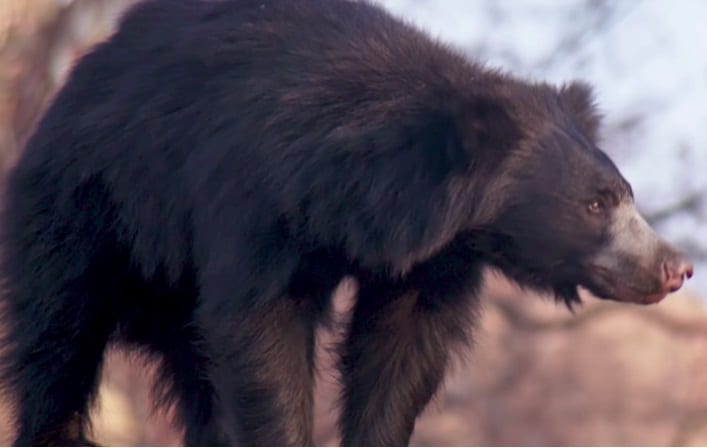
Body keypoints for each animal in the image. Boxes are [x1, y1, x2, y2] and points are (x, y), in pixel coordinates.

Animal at [0, 0, 696, 442]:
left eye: (627, 195)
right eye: (596, 204)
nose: (677, 267)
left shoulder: (434, 260)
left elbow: (401, 352)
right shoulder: (255, 203)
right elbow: (263, 330)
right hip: (83, 216)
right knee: (57, 346)